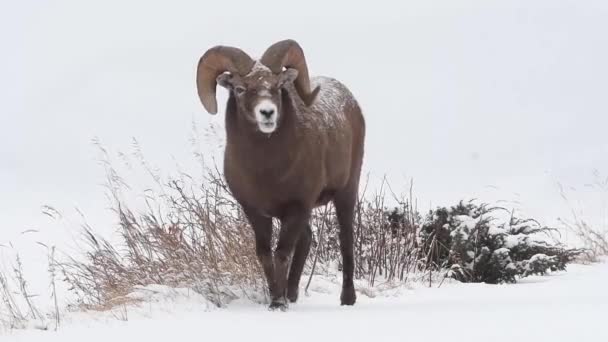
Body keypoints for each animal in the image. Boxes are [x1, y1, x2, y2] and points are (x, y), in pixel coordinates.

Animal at [197, 39, 364, 310]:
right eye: (240, 88)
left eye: (276, 86)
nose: (267, 113)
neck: (267, 172)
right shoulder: (256, 212)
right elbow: (265, 254)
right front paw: (277, 297)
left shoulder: (298, 206)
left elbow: (282, 253)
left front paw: (279, 303)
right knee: (307, 239)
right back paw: (293, 293)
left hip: (346, 192)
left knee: (345, 239)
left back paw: (347, 299)